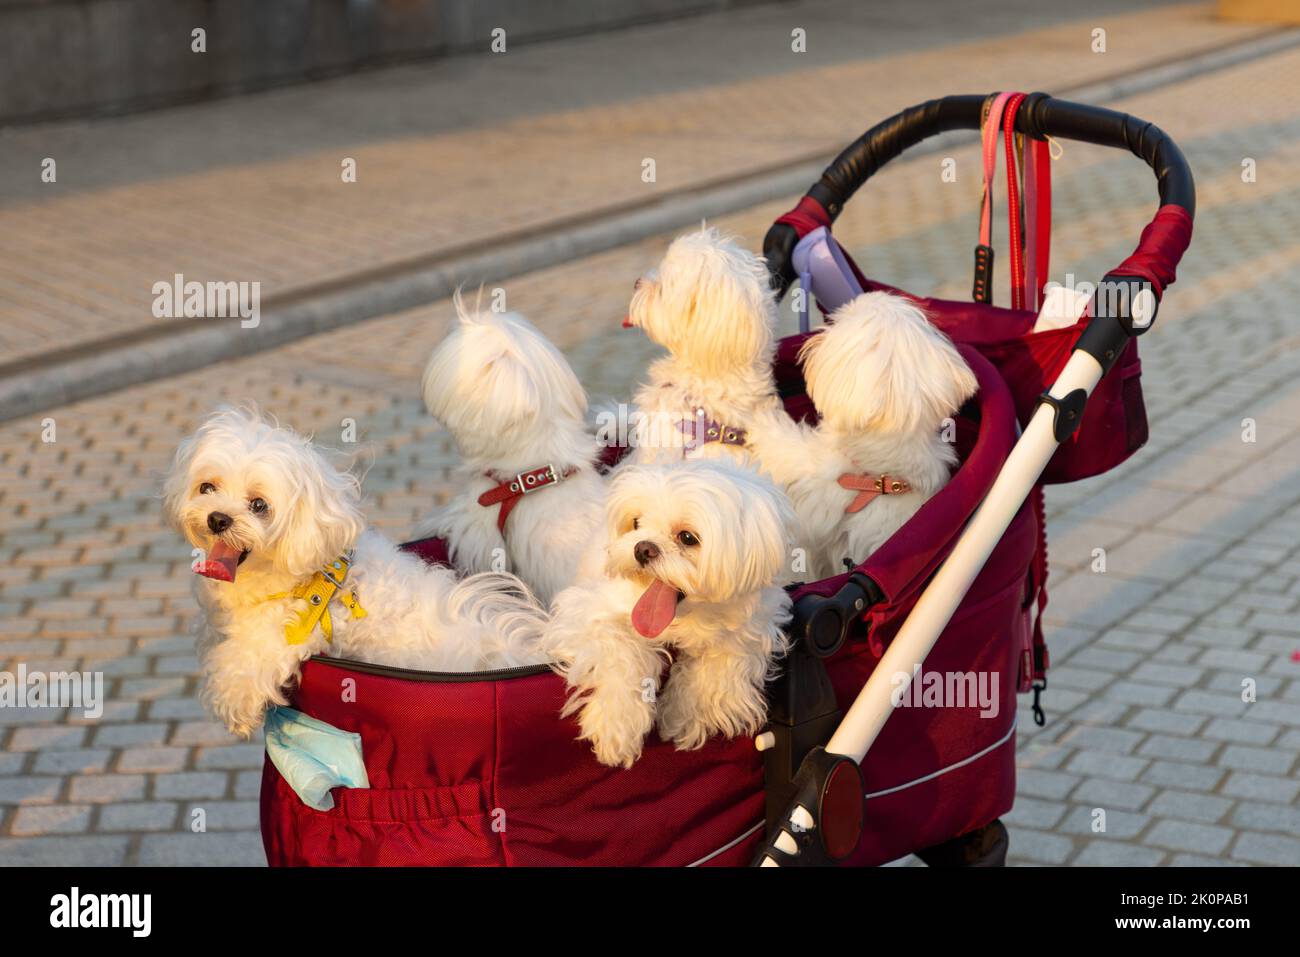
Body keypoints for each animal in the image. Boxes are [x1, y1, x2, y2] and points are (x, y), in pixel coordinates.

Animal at [165, 408, 546, 738]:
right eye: (207, 487)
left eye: (259, 505)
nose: (218, 519)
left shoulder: (285, 635)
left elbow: (239, 668)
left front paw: (234, 707)